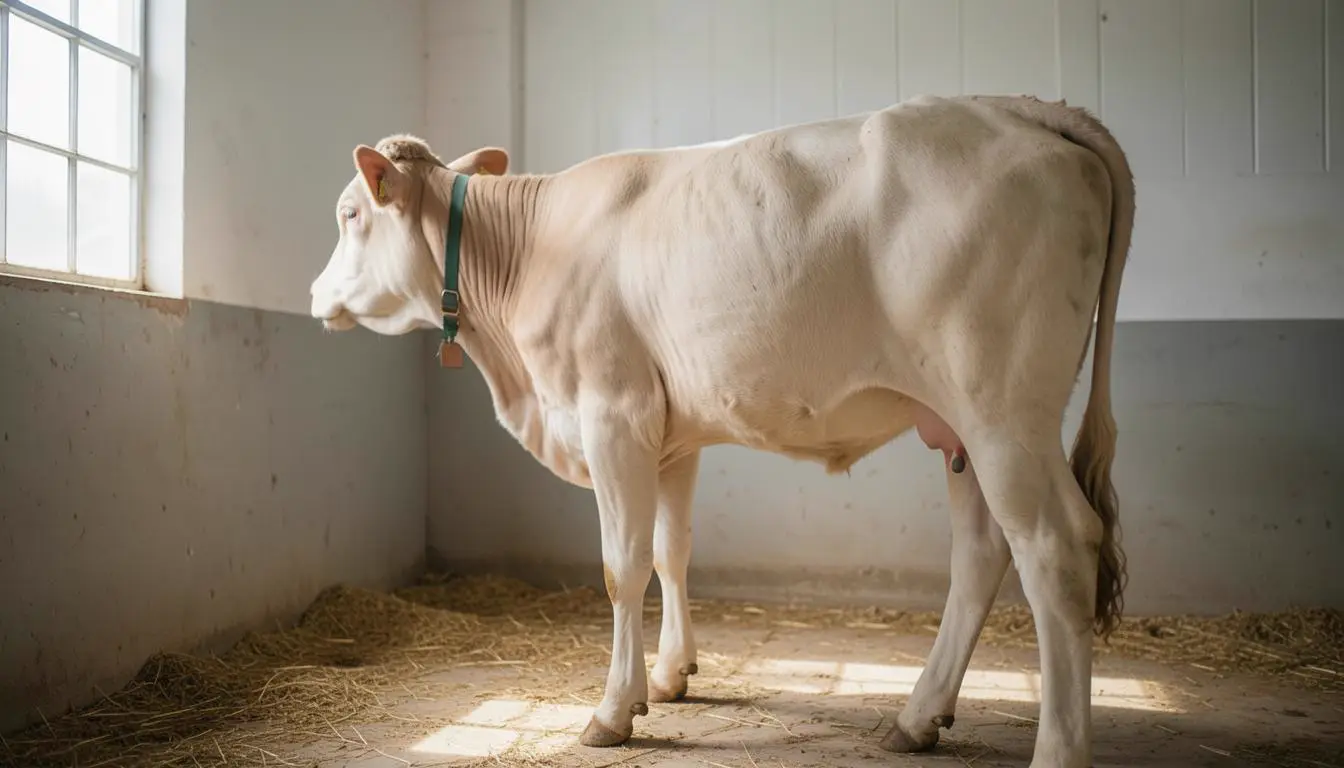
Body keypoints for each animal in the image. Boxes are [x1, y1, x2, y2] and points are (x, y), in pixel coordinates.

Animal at [310, 93, 1134, 768]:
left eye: (350, 214)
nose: (315, 292)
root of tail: (1021, 106)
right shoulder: (669, 436)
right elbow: (671, 553)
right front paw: (671, 675)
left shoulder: (612, 414)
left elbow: (621, 568)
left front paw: (614, 709)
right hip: (962, 428)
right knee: (983, 552)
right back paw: (918, 717)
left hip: (1003, 410)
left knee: (1056, 548)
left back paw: (1054, 749)